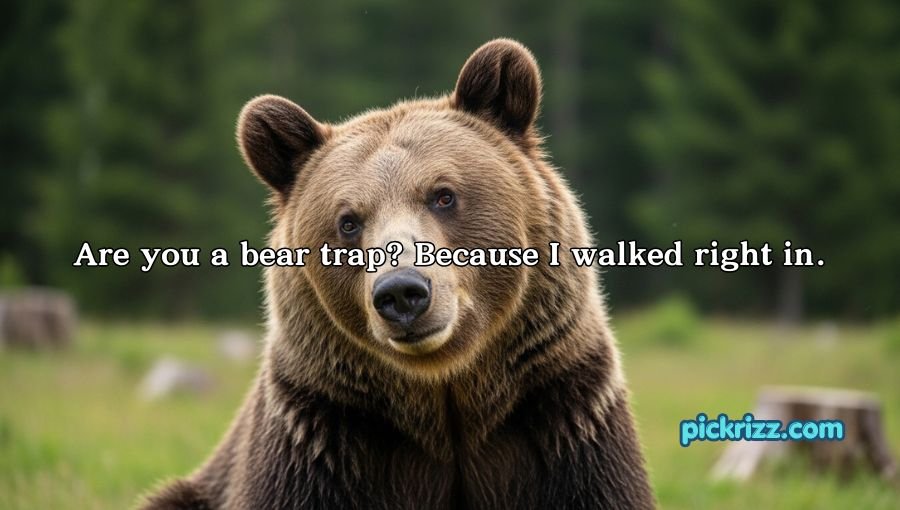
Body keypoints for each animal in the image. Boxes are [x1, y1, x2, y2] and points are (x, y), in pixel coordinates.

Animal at [141, 38, 655, 509]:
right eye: (348, 222)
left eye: (443, 195)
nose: (402, 291)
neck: (445, 399)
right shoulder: (319, 438)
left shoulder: (565, 420)